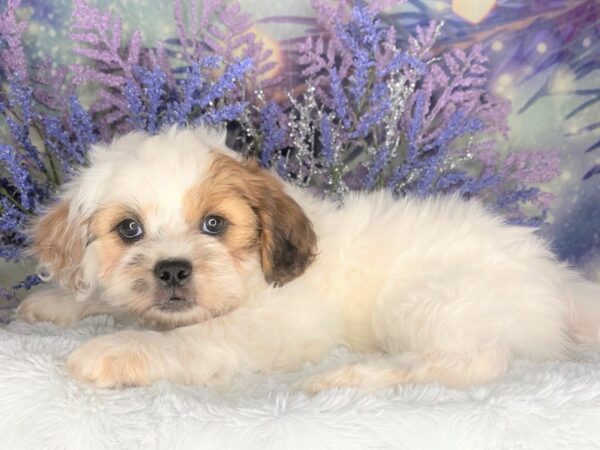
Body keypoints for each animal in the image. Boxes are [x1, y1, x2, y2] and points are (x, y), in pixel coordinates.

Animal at [16, 125, 600, 390]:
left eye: (214, 225)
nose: (174, 269)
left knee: (475, 360)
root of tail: (555, 280)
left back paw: (351, 377)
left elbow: (192, 339)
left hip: (426, 301)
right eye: (129, 230)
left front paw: (117, 349)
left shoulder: (268, 329)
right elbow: (105, 297)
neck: (255, 280)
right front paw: (57, 302)